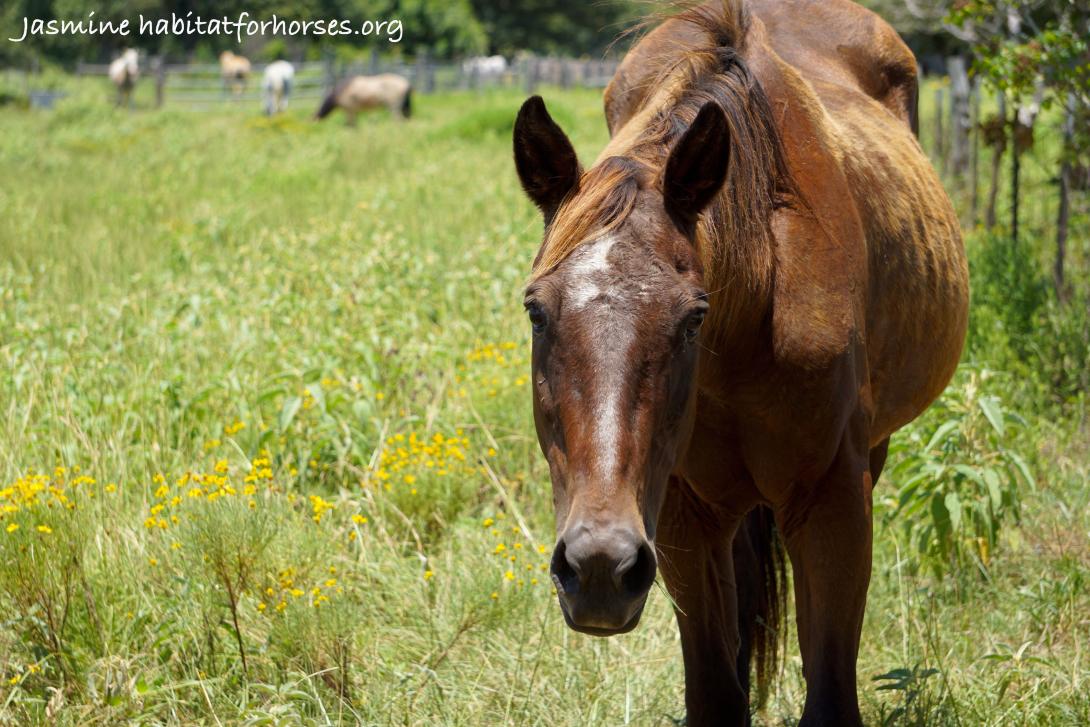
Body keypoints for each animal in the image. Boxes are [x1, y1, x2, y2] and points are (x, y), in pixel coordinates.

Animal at [514, 1, 967, 727]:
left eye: (693, 316)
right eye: (536, 310)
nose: (599, 566)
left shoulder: (833, 502)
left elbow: (830, 694)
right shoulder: (682, 515)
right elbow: (717, 695)